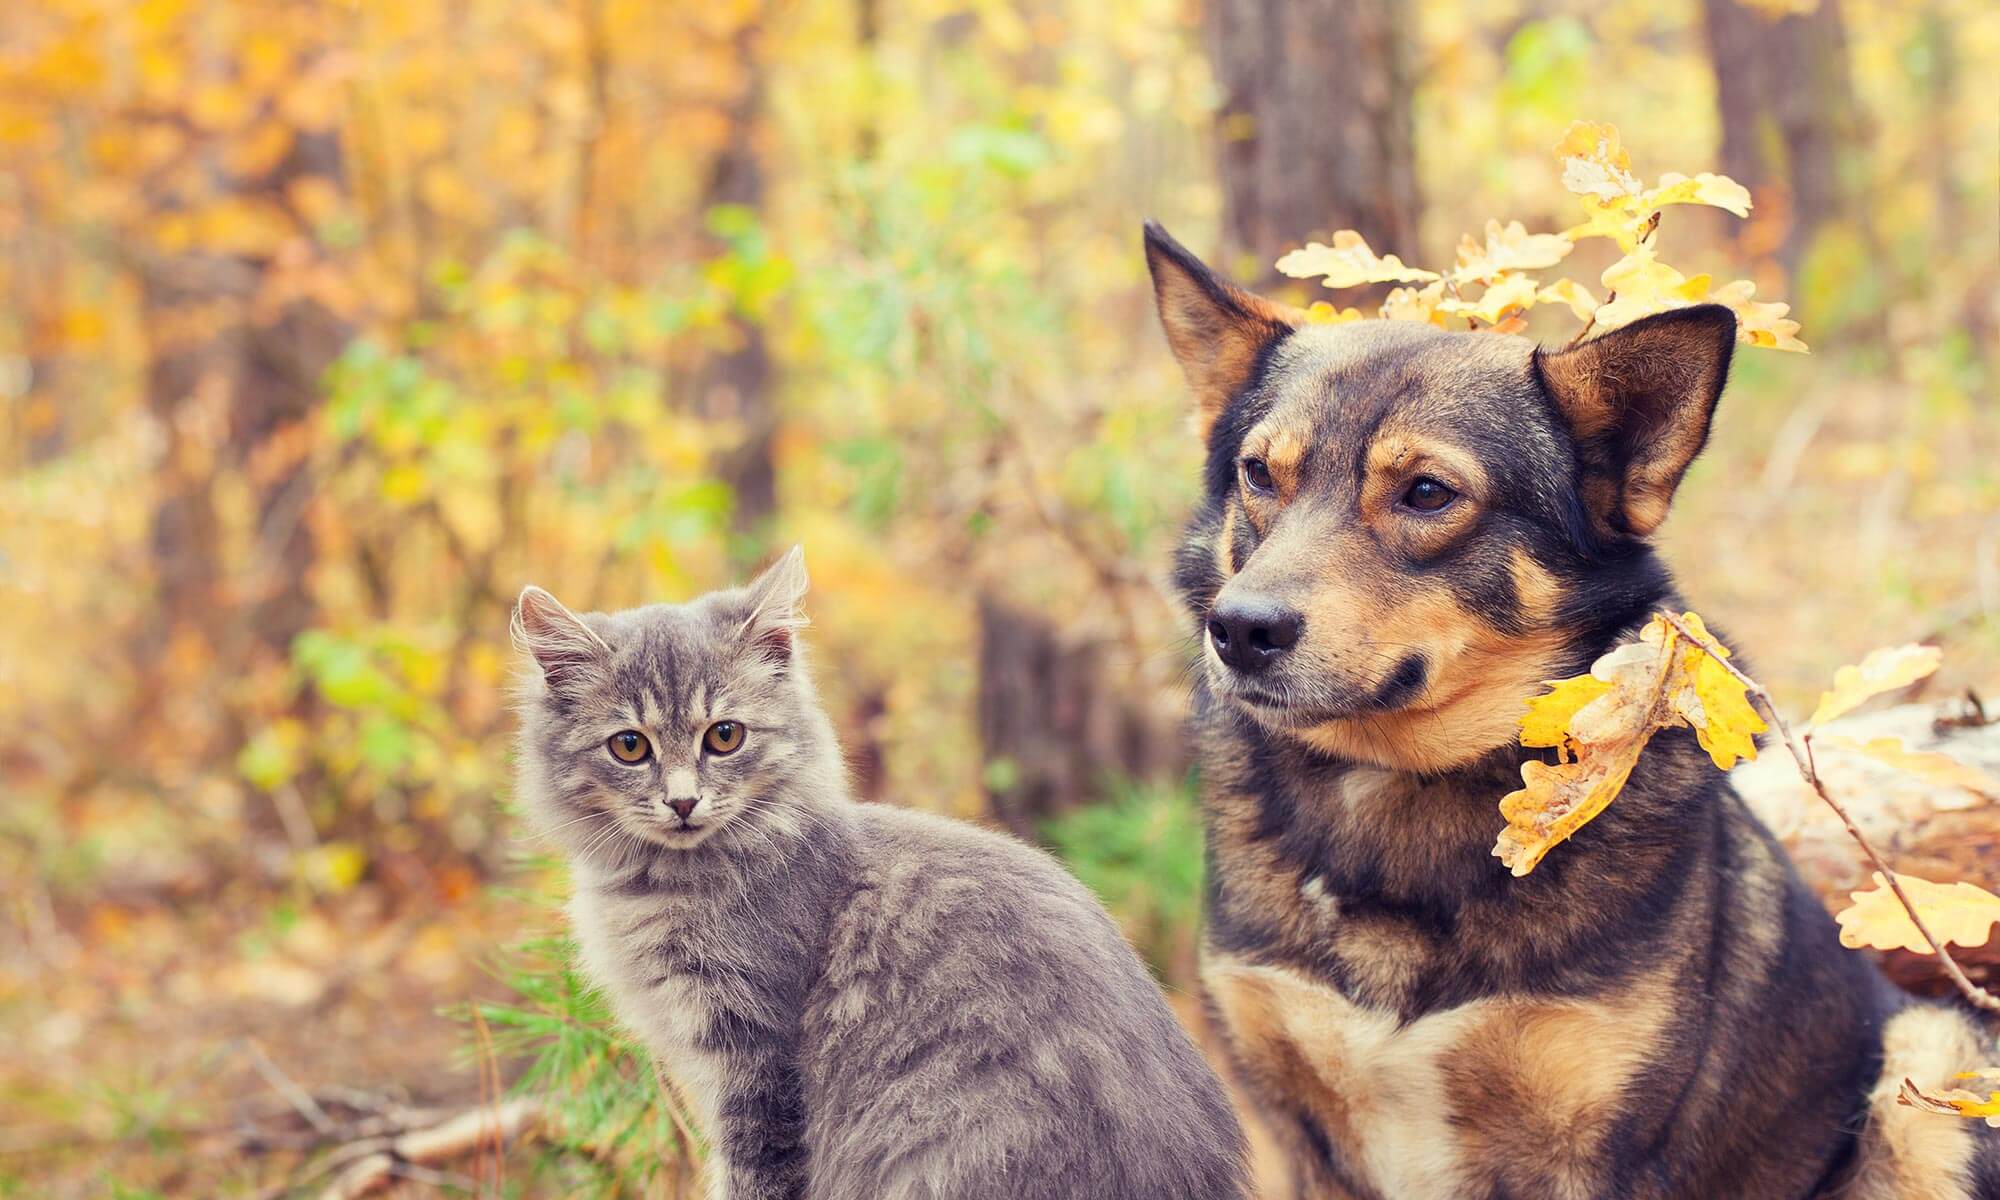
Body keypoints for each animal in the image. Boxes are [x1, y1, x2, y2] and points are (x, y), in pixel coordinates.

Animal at [508, 548, 1240, 1200]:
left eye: (724, 736)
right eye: (630, 747)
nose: (683, 802)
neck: (667, 884)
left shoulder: (758, 1062)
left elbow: (753, 1176)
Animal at [1144, 225, 2000, 1200]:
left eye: (1428, 493)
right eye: (1258, 475)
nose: (1239, 630)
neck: (1392, 788)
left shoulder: (1593, 1152)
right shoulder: (1299, 1132)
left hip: (1931, 1062)